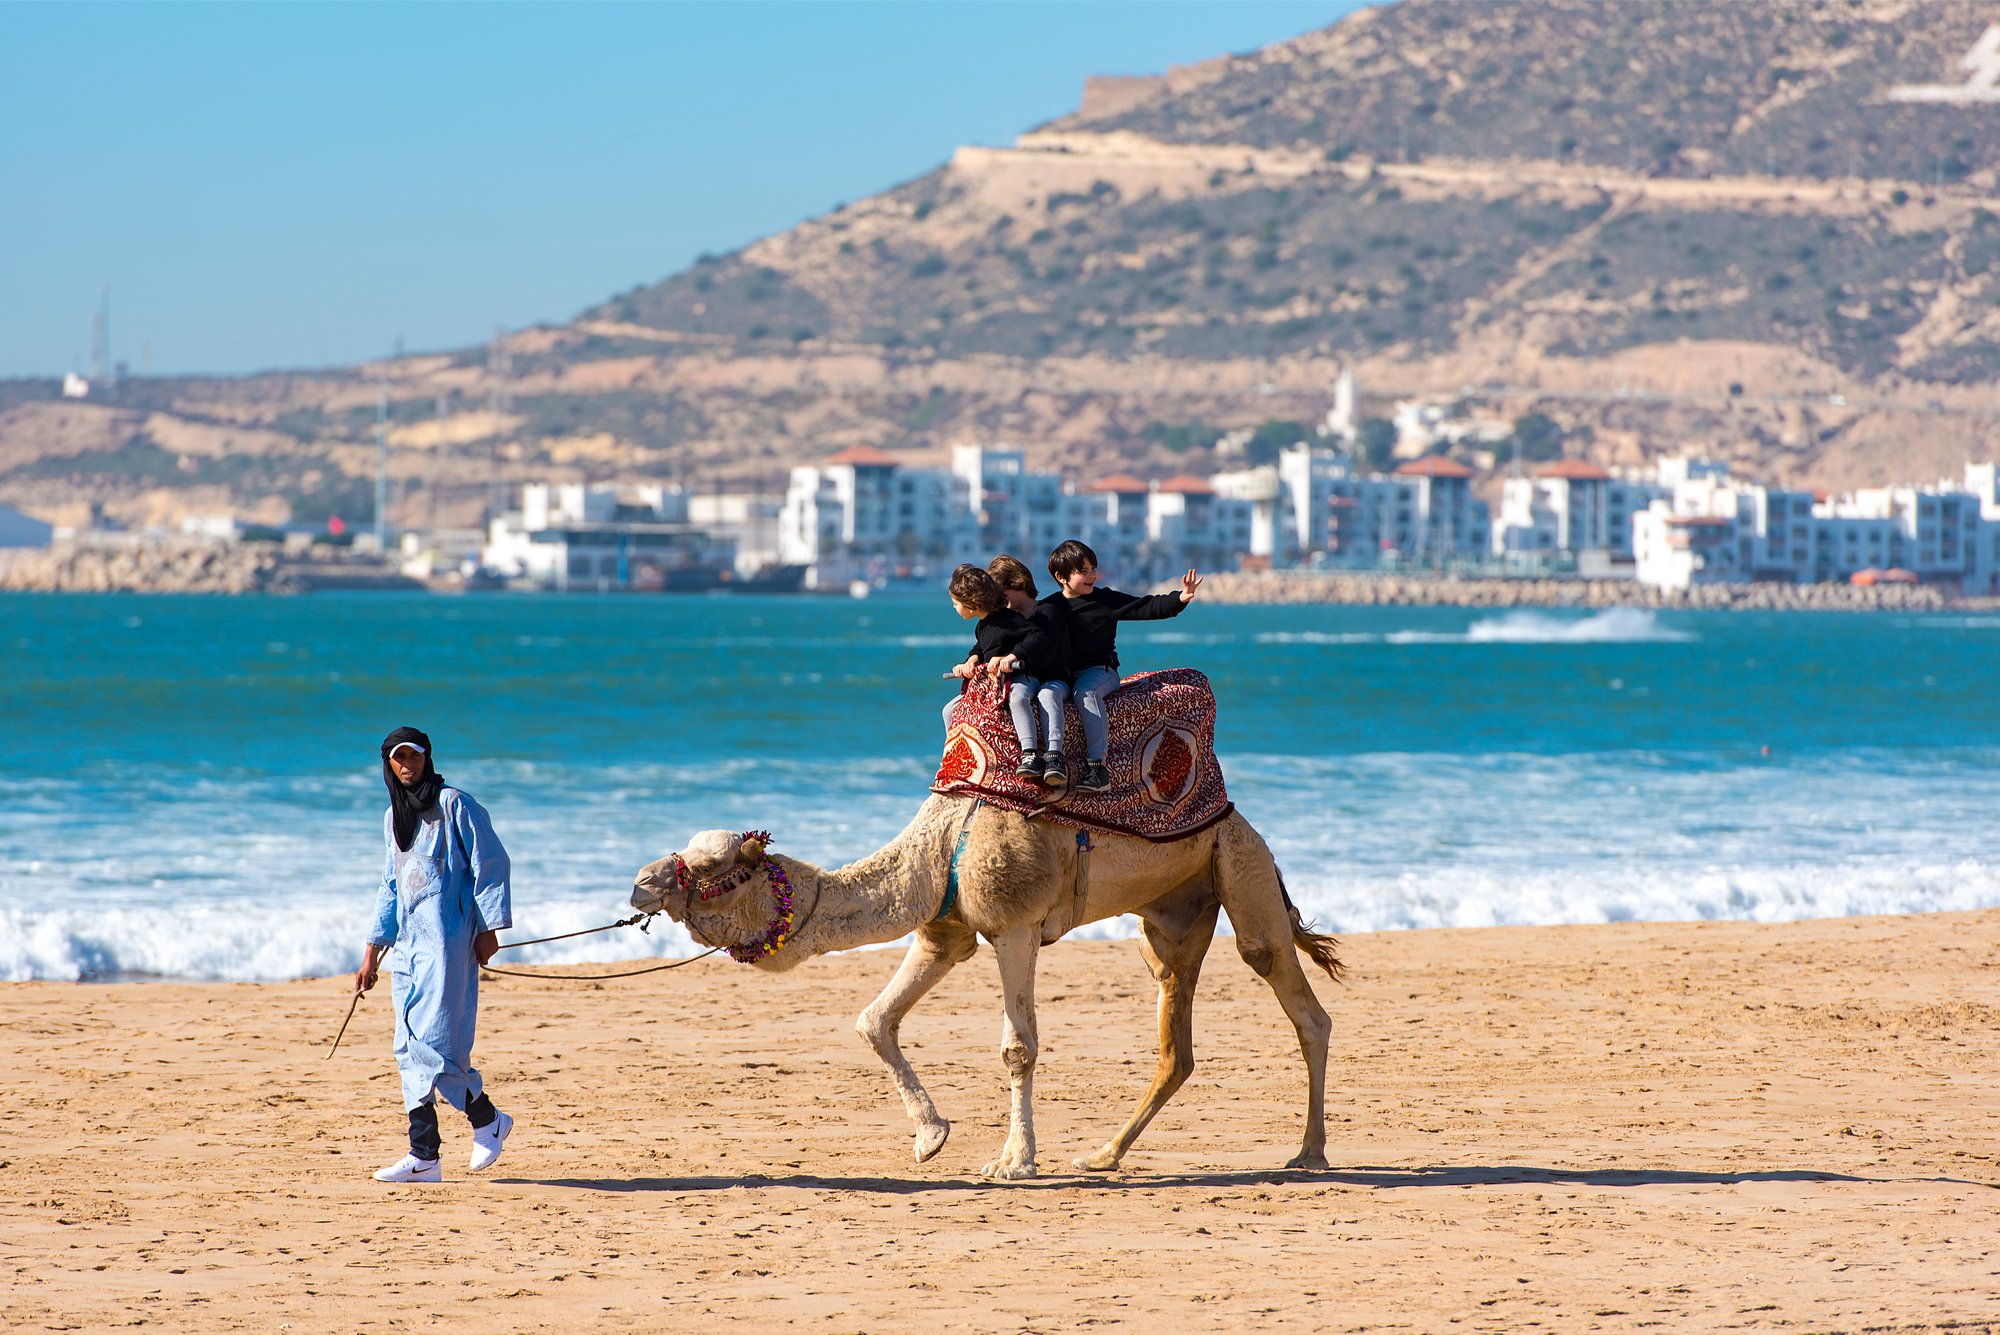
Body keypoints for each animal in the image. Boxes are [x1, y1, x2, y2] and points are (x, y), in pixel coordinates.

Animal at [624, 791, 1344, 1175]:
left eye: (713, 871)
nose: (639, 883)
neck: (939, 847)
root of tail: (1243, 820)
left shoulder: (1015, 924)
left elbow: (1017, 1047)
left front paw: (1013, 1161)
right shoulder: (943, 932)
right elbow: (874, 1019)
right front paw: (930, 1136)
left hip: (1240, 865)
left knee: (1294, 994)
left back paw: (1309, 1152)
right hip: (1173, 915)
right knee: (1177, 1043)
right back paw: (1103, 1156)